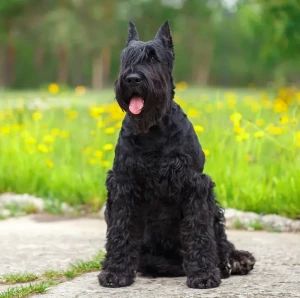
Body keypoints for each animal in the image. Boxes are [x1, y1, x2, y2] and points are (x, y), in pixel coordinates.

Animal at [98, 20, 255, 288]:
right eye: (126, 58)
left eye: (153, 58)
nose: (132, 79)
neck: (153, 130)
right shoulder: (123, 184)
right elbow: (121, 229)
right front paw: (116, 272)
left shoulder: (195, 185)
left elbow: (199, 231)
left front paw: (203, 274)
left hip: (213, 208)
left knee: (221, 240)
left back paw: (233, 261)